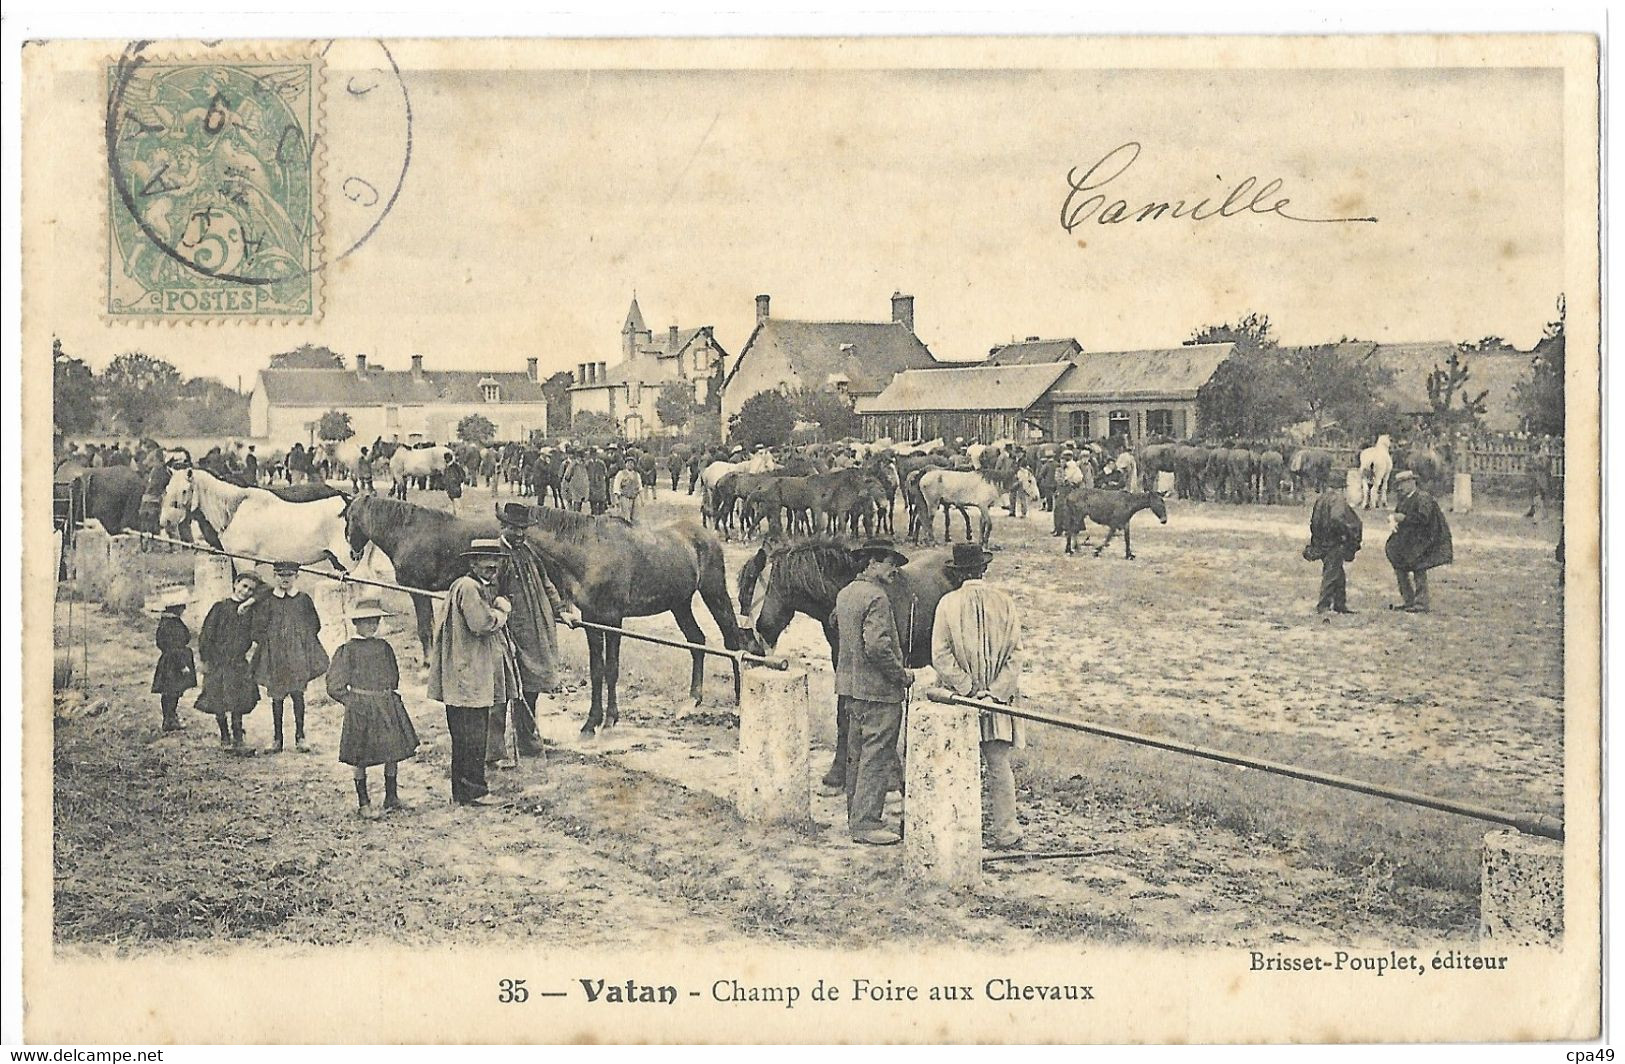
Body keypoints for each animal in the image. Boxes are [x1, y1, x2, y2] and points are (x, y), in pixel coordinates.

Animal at [161, 467, 352, 575]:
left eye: (184, 490)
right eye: (167, 488)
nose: (165, 522)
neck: (233, 510)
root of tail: (348, 501)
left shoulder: (243, 560)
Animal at [349, 493, 747, 737]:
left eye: (349, 517)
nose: (352, 551)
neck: (591, 552)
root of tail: (704, 534)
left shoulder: (612, 620)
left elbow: (612, 669)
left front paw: (609, 720)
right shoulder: (591, 620)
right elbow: (597, 670)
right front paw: (591, 722)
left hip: (713, 594)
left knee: (732, 641)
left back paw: (741, 703)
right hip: (680, 602)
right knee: (697, 642)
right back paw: (692, 700)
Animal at [737, 542, 949, 789]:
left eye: (749, 591)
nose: (750, 647)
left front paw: (891, 774)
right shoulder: (841, 661)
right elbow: (844, 714)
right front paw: (837, 773)